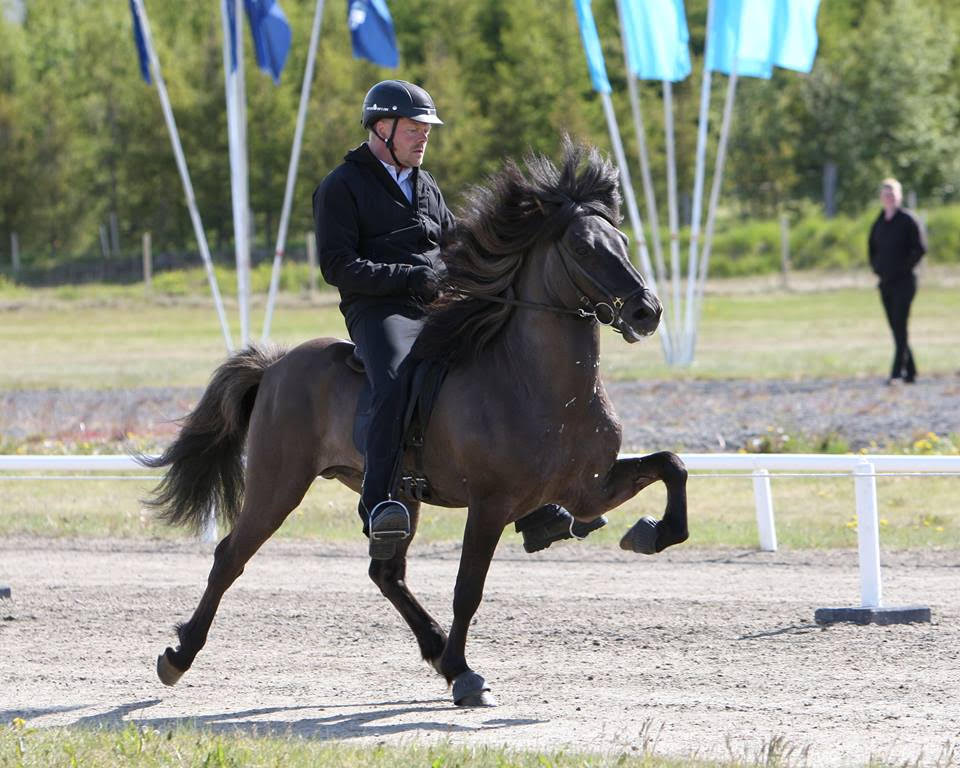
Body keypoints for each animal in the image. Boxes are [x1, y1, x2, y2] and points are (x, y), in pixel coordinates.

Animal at [142, 140, 688, 708]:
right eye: (582, 248)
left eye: (621, 241)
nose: (647, 312)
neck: (540, 384)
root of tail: (275, 365)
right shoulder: (490, 505)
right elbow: (468, 588)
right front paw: (466, 674)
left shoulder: (587, 490)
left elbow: (671, 465)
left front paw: (652, 533)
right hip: (279, 484)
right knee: (230, 556)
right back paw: (178, 656)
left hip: (397, 495)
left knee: (385, 571)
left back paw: (436, 649)